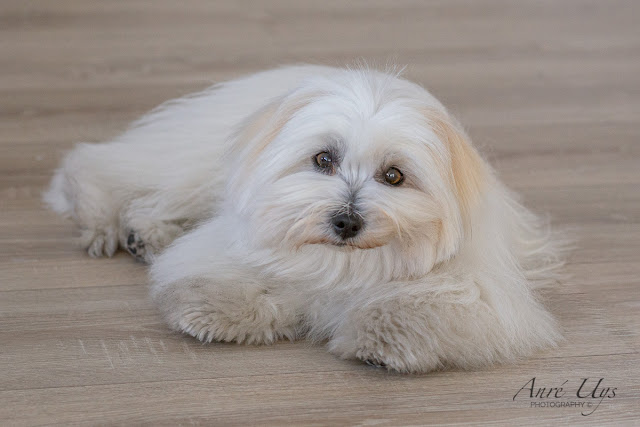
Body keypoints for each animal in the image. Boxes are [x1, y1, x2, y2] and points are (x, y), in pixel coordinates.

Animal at [46, 65, 564, 372]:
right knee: (99, 166)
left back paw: (146, 236)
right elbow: (228, 278)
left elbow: (424, 305)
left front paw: (382, 335)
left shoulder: (478, 288)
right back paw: (105, 221)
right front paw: (213, 311)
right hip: (189, 164)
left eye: (393, 176)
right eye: (323, 159)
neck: (345, 262)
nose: (346, 222)